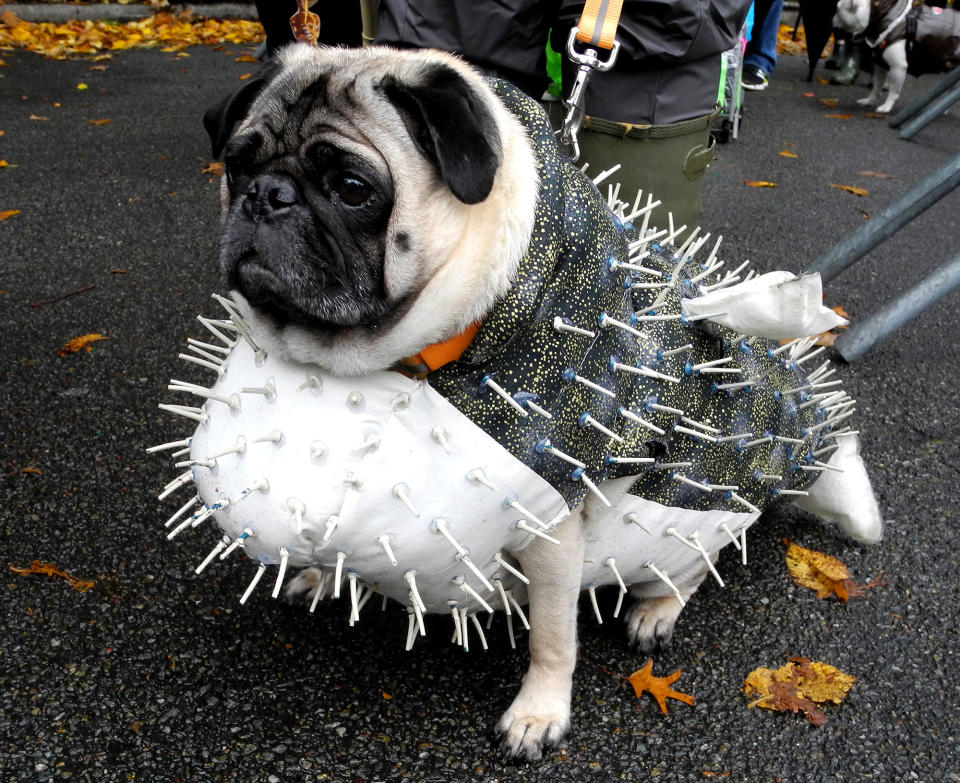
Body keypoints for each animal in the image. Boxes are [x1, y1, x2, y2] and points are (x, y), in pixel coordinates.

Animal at [206, 41, 880, 760]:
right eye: (237, 164)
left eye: (353, 189)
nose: (266, 195)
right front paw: (329, 575)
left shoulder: (552, 522)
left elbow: (554, 635)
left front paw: (540, 712)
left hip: (696, 512)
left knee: (695, 567)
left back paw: (656, 609)